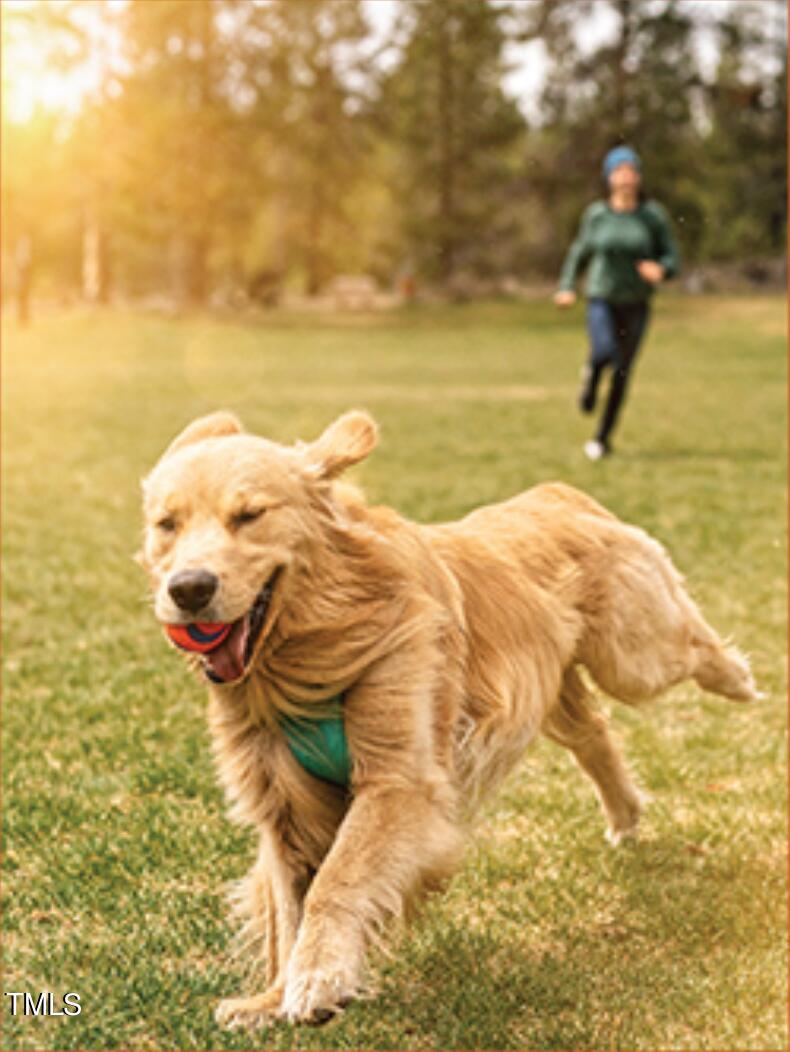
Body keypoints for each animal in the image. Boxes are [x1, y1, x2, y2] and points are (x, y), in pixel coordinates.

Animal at [138, 408, 757, 1026]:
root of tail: (559, 493)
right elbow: (288, 903)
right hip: (551, 689)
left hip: (630, 655)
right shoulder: (283, 801)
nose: (188, 589)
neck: (305, 658)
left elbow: (336, 878)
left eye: (249, 516)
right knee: (594, 733)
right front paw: (272, 996)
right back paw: (625, 815)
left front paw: (317, 978)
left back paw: (737, 678)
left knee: (689, 646)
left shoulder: (399, 780)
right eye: (167, 524)